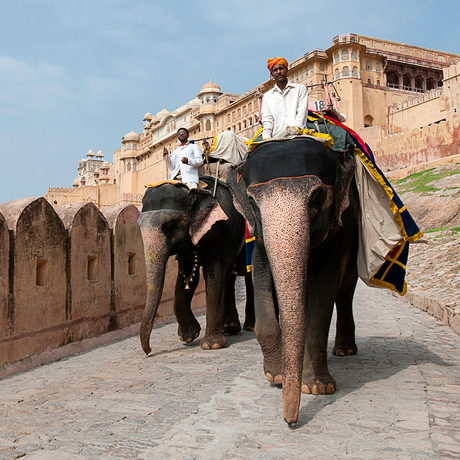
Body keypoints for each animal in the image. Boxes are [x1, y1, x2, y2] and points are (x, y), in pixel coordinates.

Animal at [138, 176, 256, 356]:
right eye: (139, 225)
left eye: (168, 225)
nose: (149, 351)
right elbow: (187, 276)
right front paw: (189, 336)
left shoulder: (225, 230)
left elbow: (214, 272)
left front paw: (212, 345)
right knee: (229, 279)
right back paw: (230, 328)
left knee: (249, 278)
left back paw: (250, 326)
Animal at [226, 137, 360, 424]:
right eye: (252, 202)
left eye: (317, 197)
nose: (290, 421)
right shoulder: (258, 234)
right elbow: (262, 275)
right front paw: (277, 376)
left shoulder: (340, 227)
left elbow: (324, 292)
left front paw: (319, 388)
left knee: (345, 291)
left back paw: (345, 351)